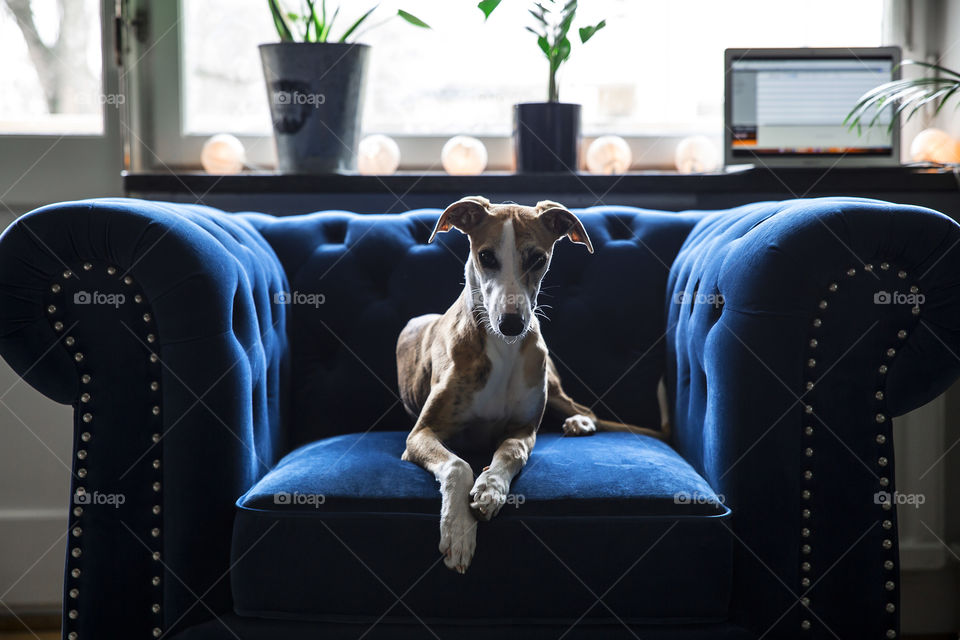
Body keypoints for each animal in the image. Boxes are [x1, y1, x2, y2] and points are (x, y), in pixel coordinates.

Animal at [398, 198, 668, 572]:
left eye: (538, 259)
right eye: (486, 256)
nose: (512, 325)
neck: (502, 348)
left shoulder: (524, 429)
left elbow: (511, 451)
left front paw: (491, 488)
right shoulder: (421, 433)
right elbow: (458, 464)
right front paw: (459, 530)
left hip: (549, 380)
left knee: (584, 408)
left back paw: (579, 422)